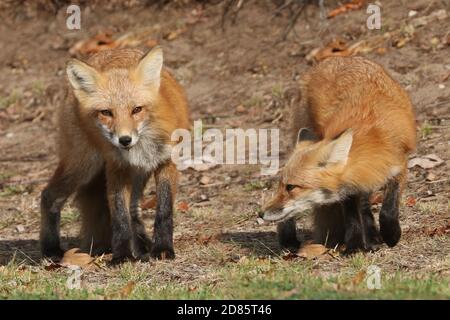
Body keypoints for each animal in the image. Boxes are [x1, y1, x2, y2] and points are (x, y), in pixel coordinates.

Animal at [39, 47, 191, 262]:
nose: (124, 140)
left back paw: (143, 245)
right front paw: (122, 256)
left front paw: (162, 248)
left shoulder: (166, 162)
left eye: (137, 109)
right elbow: (119, 215)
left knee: (134, 210)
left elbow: (164, 209)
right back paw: (50, 248)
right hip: (84, 166)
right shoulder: (116, 167)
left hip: (137, 173)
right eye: (106, 112)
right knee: (49, 195)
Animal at [262, 57, 416, 252]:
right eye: (282, 185)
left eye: (291, 187)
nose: (260, 213)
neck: (375, 139)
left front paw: (391, 234)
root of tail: (334, 59)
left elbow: (388, 208)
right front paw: (355, 245)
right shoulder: (348, 187)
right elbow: (352, 216)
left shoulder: (400, 164)